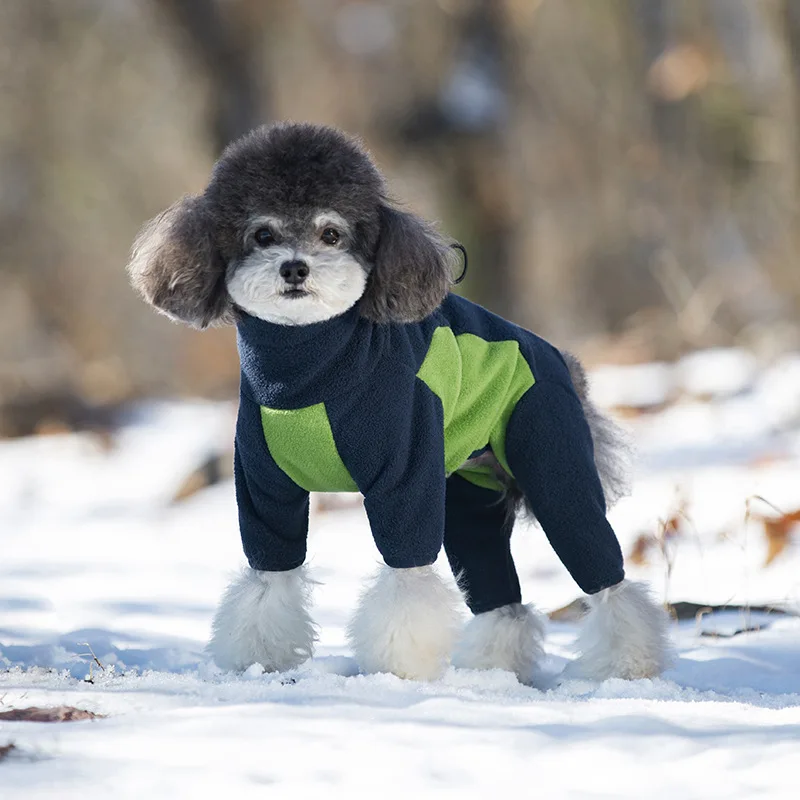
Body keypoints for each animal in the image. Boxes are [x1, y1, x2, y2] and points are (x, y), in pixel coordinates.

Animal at [128, 122, 672, 684]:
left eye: (331, 234)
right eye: (262, 235)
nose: (295, 268)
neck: (308, 369)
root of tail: (563, 361)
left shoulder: (405, 480)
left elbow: (407, 581)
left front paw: (398, 668)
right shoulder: (265, 491)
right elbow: (267, 579)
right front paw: (260, 659)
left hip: (552, 465)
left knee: (605, 573)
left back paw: (629, 663)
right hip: (467, 496)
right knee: (500, 596)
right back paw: (494, 667)